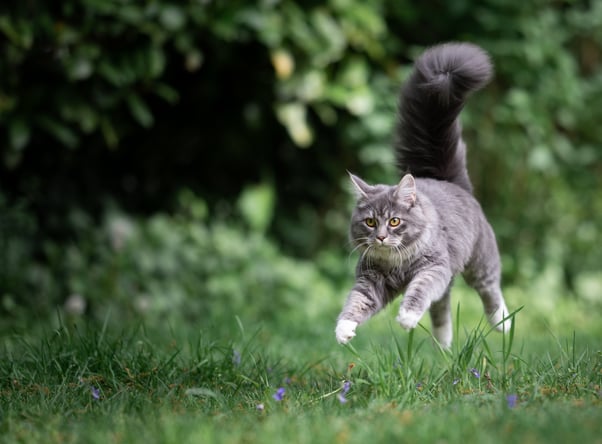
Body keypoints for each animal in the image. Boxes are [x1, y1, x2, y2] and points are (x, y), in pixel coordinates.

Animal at [336, 42, 508, 346]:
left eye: (394, 221)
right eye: (370, 222)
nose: (381, 236)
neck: (396, 264)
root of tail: (447, 179)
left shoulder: (434, 268)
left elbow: (419, 291)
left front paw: (406, 317)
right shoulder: (370, 281)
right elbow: (355, 302)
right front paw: (343, 330)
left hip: (480, 260)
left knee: (489, 288)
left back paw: (502, 322)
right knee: (442, 306)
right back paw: (443, 343)